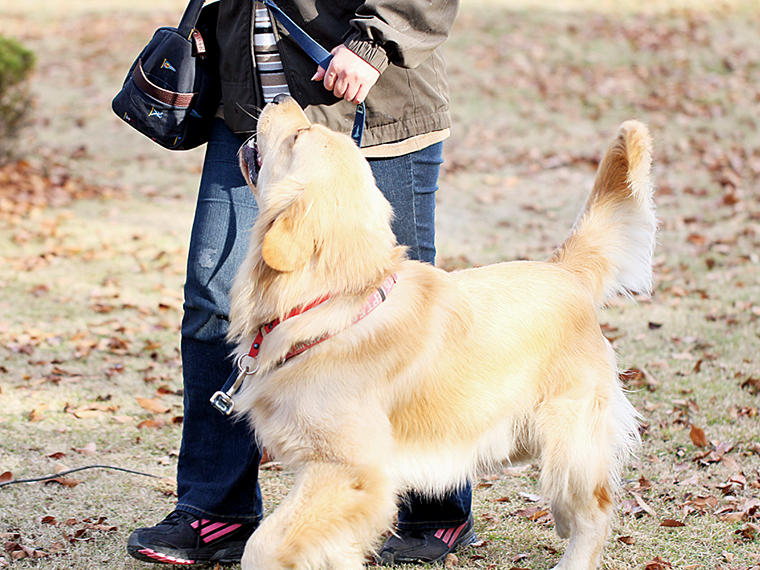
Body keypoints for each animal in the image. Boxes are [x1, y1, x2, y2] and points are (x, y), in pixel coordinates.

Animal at [226, 95, 652, 568]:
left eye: (299, 136)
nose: (279, 96)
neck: (329, 304)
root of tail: (564, 269)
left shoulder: (351, 470)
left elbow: (264, 543)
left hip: (568, 433)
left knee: (595, 508)